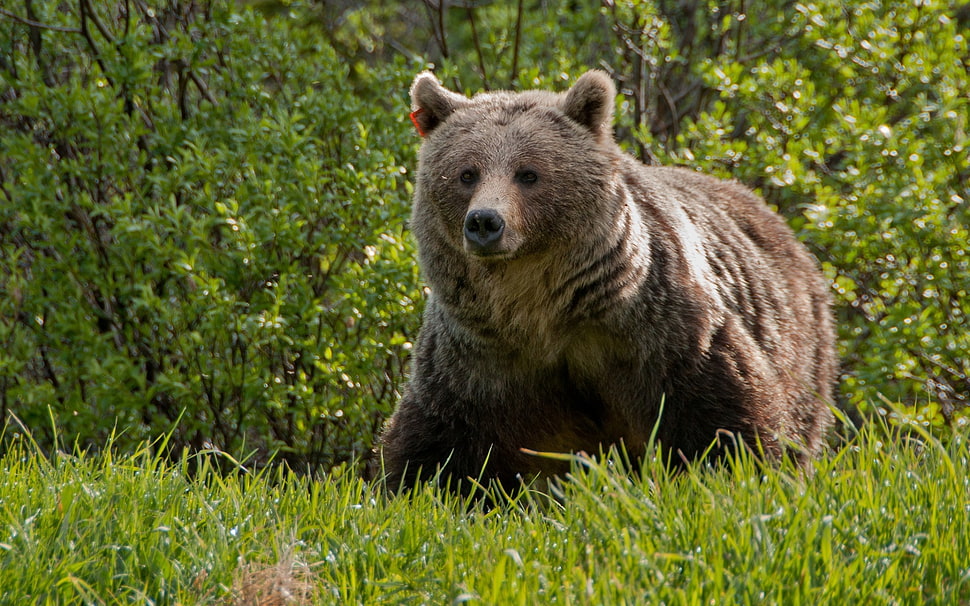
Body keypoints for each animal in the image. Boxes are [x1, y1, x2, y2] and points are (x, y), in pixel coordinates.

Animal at [377, 70, 837, 492]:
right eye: (466, 173)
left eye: (528, 173)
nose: (485, 222)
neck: (539, 309)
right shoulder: (477, 361)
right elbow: (439, 444)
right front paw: (420, 489)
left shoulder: (661, 334)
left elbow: (724, 419)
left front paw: (739, 473)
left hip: (801, 345)